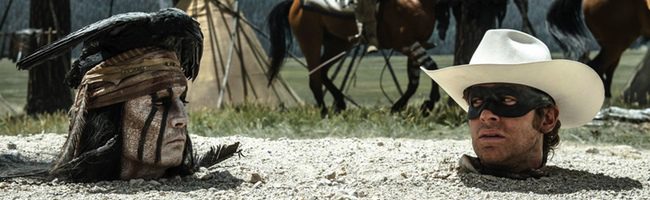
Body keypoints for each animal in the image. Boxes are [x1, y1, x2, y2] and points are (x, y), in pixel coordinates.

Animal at [264, 0, 446, 115]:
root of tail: (294, 4)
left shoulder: (415, 44)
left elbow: (414, 81)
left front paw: (400, 107)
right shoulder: (407, 43)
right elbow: (432, 67)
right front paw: (429, 104)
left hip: (338, 43)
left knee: (323, 72)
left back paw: (339, 103)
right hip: (311, 40)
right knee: (315, 78)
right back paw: (324, 113)